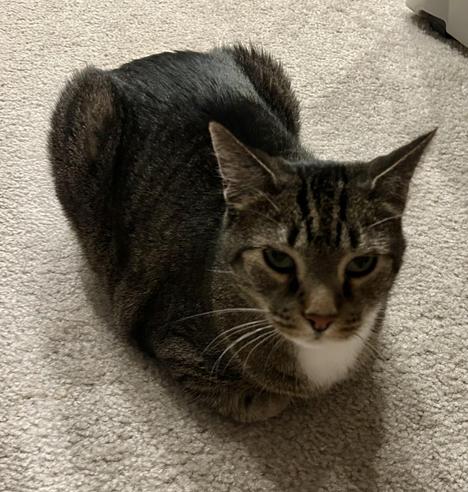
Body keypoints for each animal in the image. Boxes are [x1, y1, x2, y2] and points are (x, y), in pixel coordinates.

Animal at [48, 45, 436, 422]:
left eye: (361, 264)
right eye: (278, 259)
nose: (321, 318)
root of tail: (135, 64)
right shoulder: (175, 341)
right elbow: (263, 401)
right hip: (87, 111)